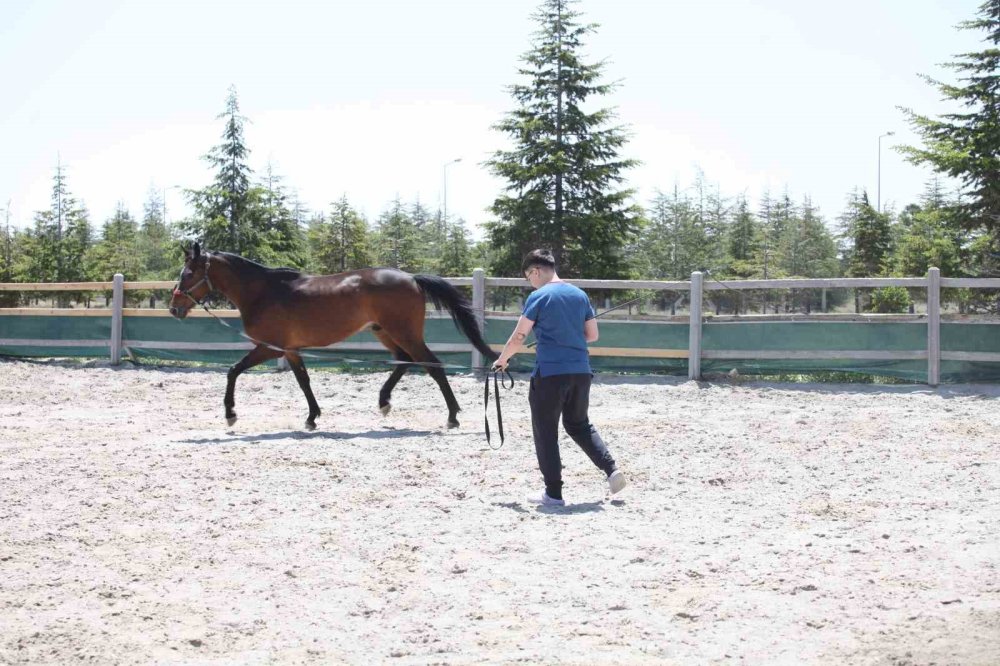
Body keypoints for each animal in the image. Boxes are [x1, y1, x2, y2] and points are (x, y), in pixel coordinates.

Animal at [171, 244, 500, 430]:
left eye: (187, 274)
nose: (174, 307)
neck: (262, 291)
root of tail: (412, 278)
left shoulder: (270, 348)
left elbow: (232, 370)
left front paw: (230, 414)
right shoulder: (290, 350)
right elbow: (304, 381)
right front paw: (312, 418)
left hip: (404, 332)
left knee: (433, 365)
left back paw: (452, 416)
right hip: (384, 331)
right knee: (404, 361)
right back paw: (384, 402)